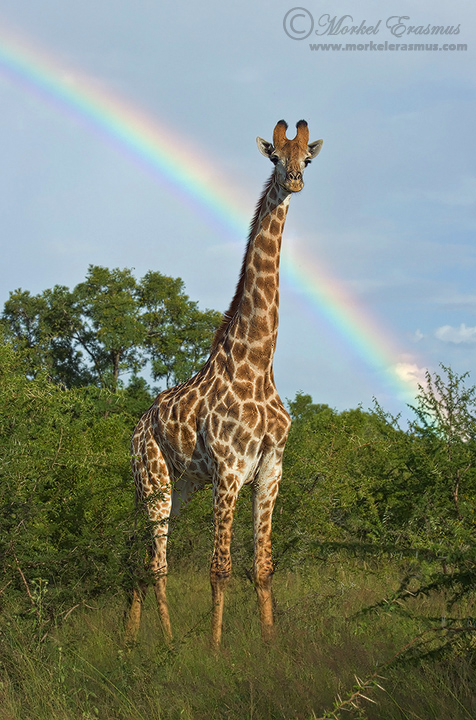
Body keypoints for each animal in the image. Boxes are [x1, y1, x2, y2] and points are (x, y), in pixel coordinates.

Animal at [125, 120, 323, 648]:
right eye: (275, 156)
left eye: (307, 158)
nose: (295, 180)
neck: (257, 363)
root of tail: (137, 428)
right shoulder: (230, 470)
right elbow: (219, 569)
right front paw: (215, 651)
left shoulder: (271, 469)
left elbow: (263, 566)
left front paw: (269, 643)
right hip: (153, 480)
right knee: (158, 563)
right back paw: (168, 642)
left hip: (180, 485)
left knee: (138, 557)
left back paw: (129, 640)